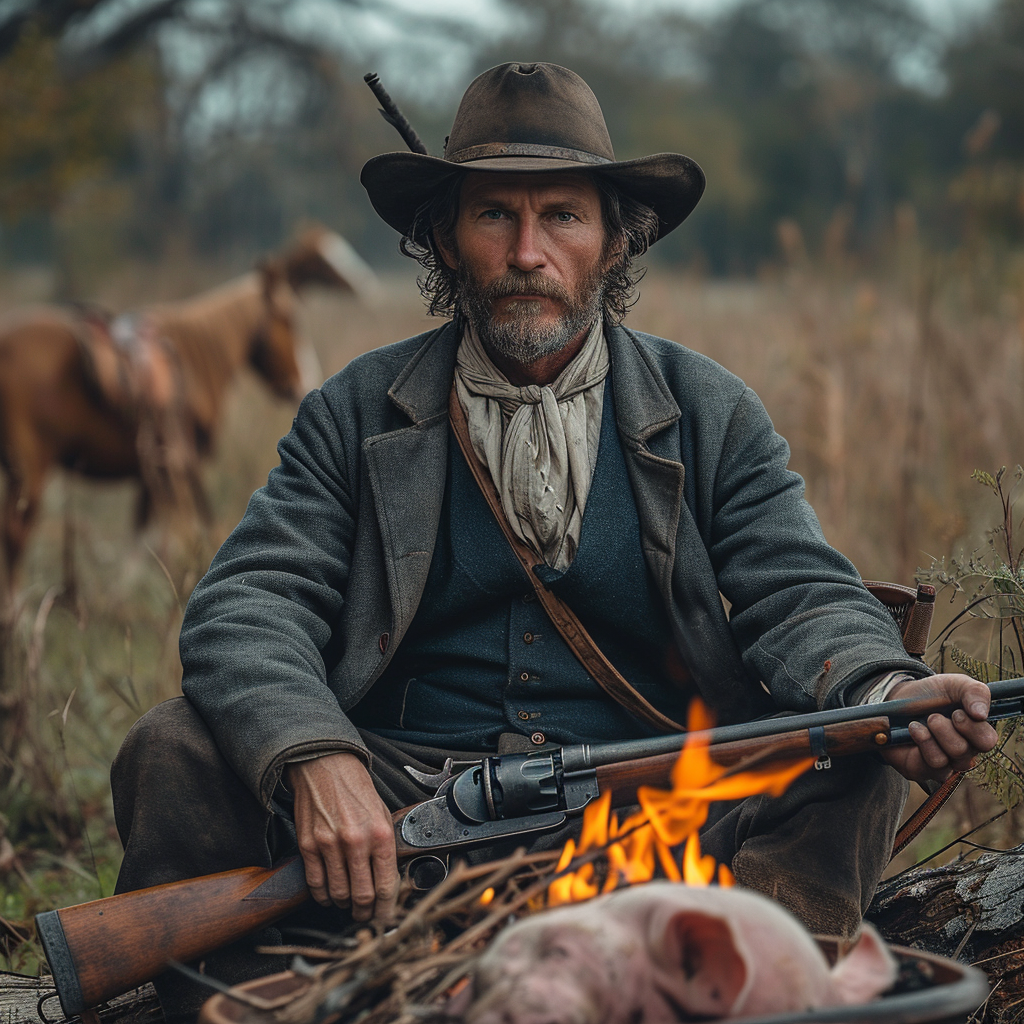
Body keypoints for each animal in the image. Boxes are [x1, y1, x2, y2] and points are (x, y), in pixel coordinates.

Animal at [0, 224, 376, 593]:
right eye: (288, 320)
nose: (306, 380)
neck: (193, 362)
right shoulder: (177, 464)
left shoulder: (156, 471)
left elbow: (142, 539)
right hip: (29, 471)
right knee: (15, 537)